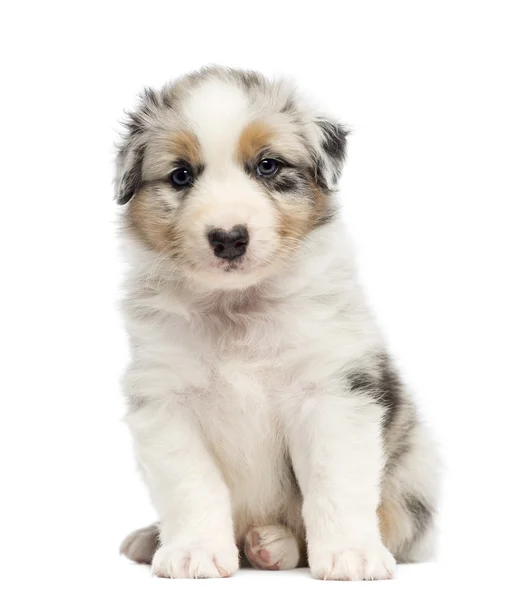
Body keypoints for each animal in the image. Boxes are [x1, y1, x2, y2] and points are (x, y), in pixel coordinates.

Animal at [116, 65, 440, 580]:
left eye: (267, 166)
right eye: (181, 175)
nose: (229, 238)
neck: (237, 307)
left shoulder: (331, 391)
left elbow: (333, 481)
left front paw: (349, 554)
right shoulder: (165, 399)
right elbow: (192, 483)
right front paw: (194, 551)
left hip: (415, 478)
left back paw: (273, 544)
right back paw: (156, 538)